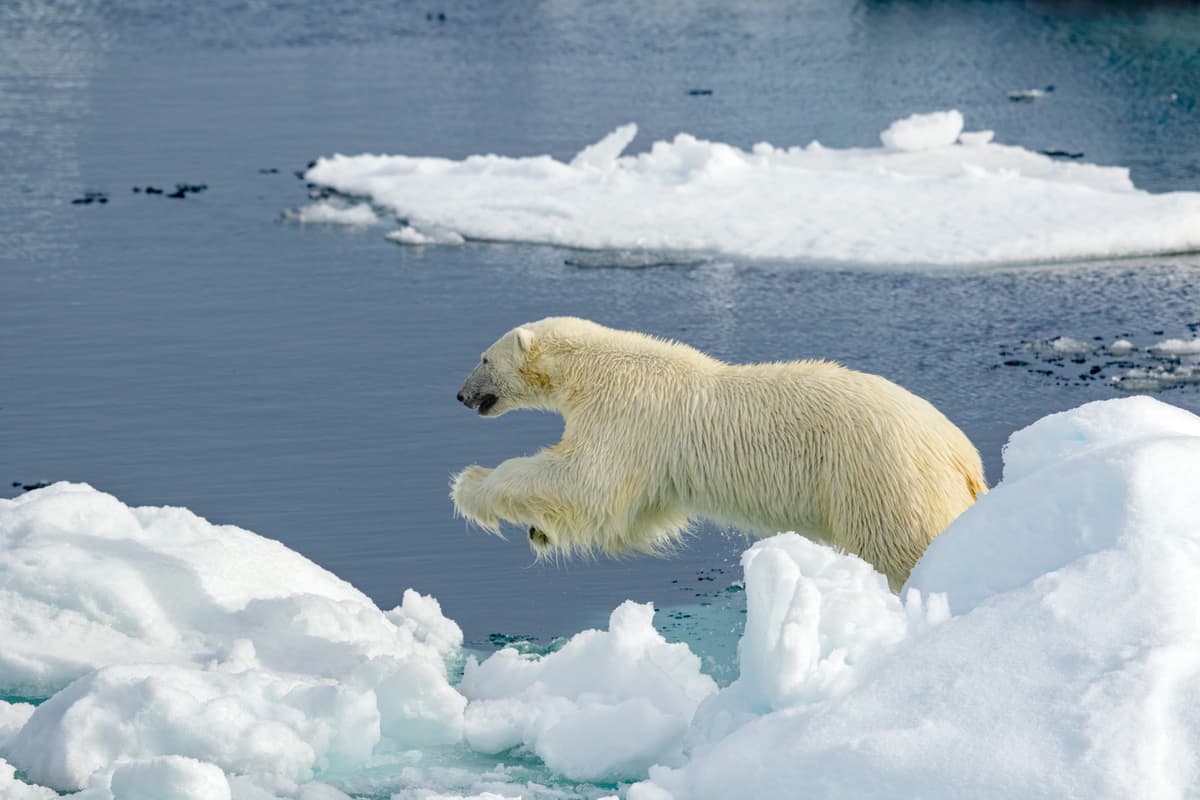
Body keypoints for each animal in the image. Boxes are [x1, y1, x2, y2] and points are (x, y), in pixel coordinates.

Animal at [451, 317, 986, 590]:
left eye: (482, 357)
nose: (460, 395)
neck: (594, 366)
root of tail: (963, 456)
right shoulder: (655, 458)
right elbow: (638, 509)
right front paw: (539, 529)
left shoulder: (625, 414)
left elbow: (586, 482)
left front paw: (472, 485)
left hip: (881, 476)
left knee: (904, 544)